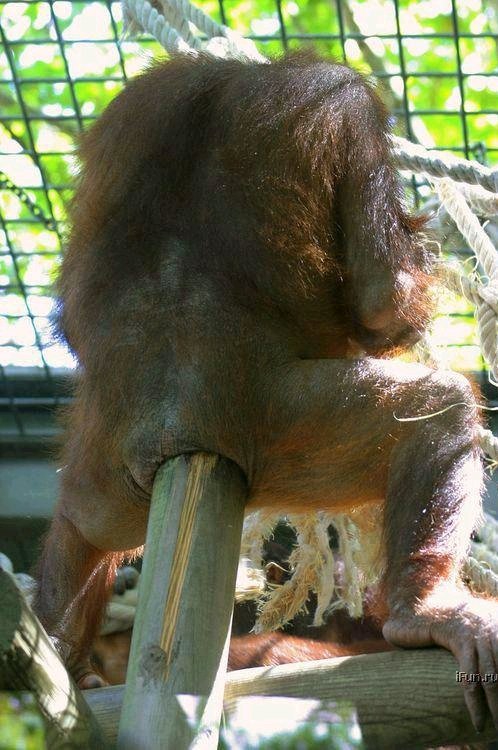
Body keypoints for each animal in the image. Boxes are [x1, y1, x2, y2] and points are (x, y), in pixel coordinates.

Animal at [33, 51, 498, 732]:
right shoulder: (347, 104)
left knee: (78, 525)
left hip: (105, 470)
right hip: (282, 426)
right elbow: (383, 299)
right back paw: (424, 612)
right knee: (438, 414)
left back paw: (61, 658)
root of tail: (174, 437)